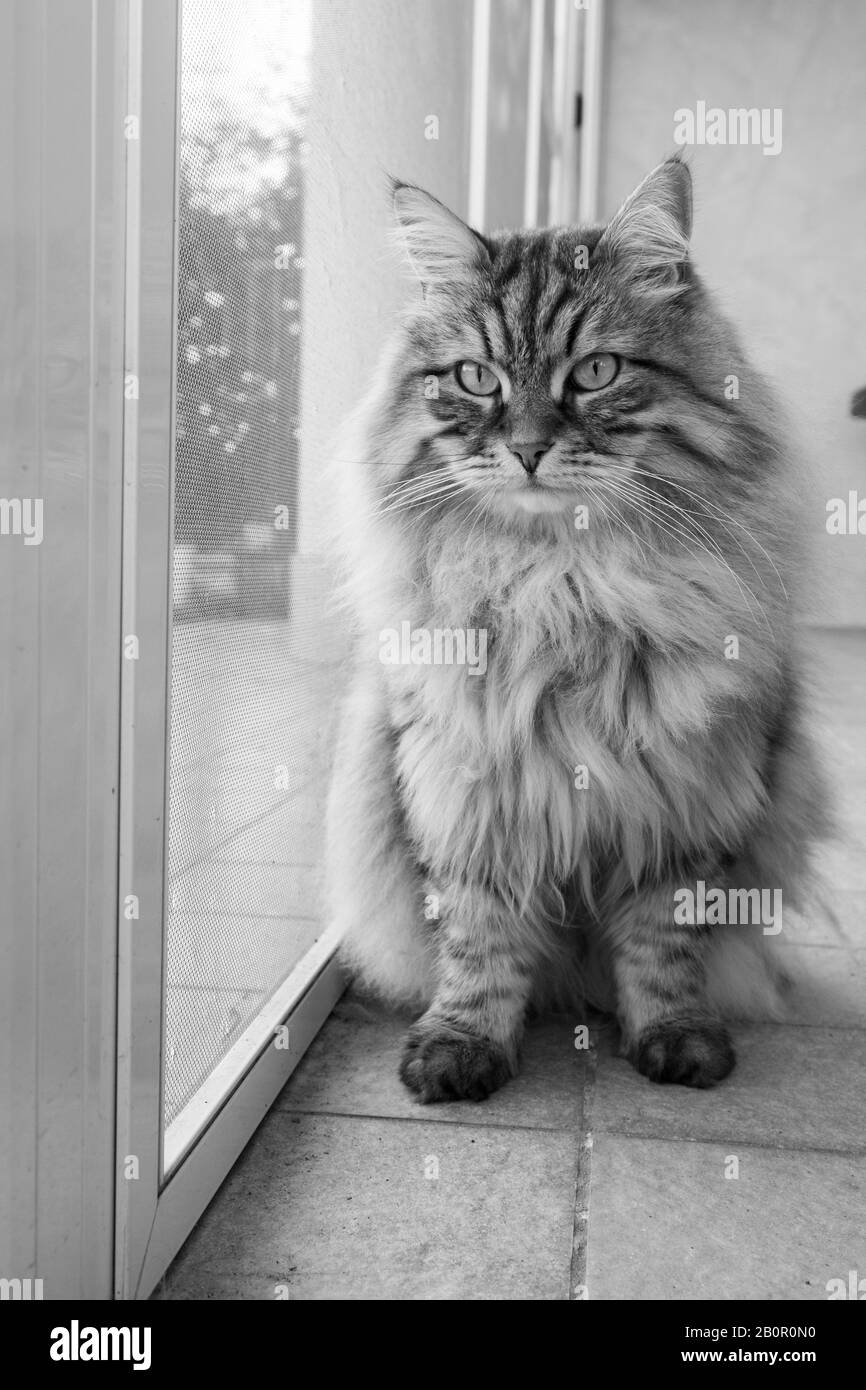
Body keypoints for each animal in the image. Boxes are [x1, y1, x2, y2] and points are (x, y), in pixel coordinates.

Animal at [323, 157, 828, 1100]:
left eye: (594, 371)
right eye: (476, 378)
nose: (527, 448)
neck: (562, 587)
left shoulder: (687, 800)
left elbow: (664, 946)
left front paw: (675, 1041)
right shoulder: (462, 789)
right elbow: (478, 944)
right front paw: (459, 1048)